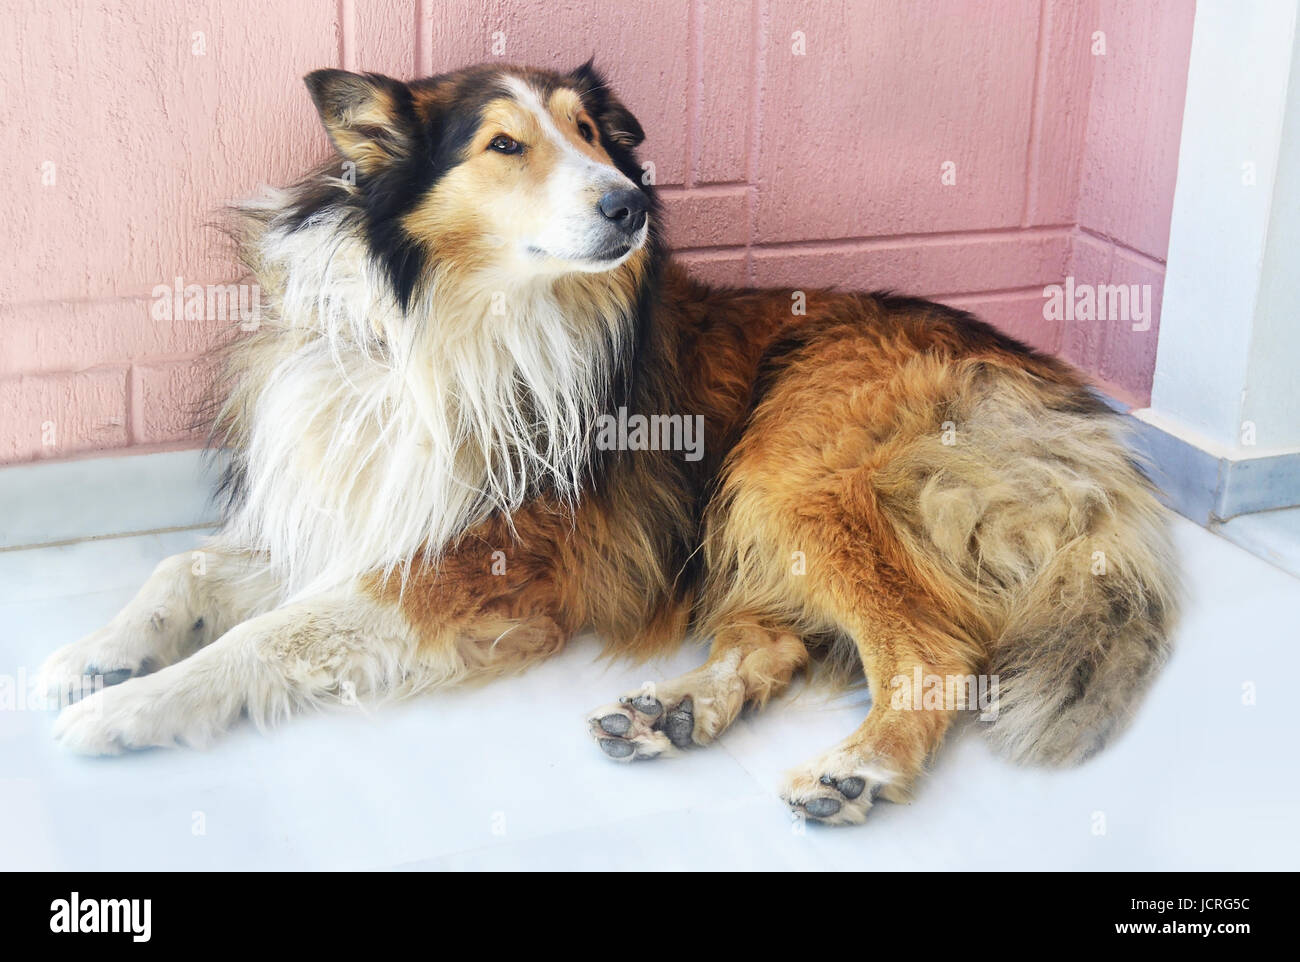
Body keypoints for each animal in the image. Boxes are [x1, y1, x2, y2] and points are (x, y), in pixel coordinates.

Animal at [40, 64, 1180, 821]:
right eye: (504, 144)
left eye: (593, 132)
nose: (631, 204)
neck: (443, 323)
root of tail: (1051, 394)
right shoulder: (358, 508)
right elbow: (186, 568)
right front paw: (93, 657)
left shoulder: (482, 559)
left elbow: (269, 635)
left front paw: (129, 708)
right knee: (776, 637)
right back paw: (673, 710)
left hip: (786, 465)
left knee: (935, 649)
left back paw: (858, 767)